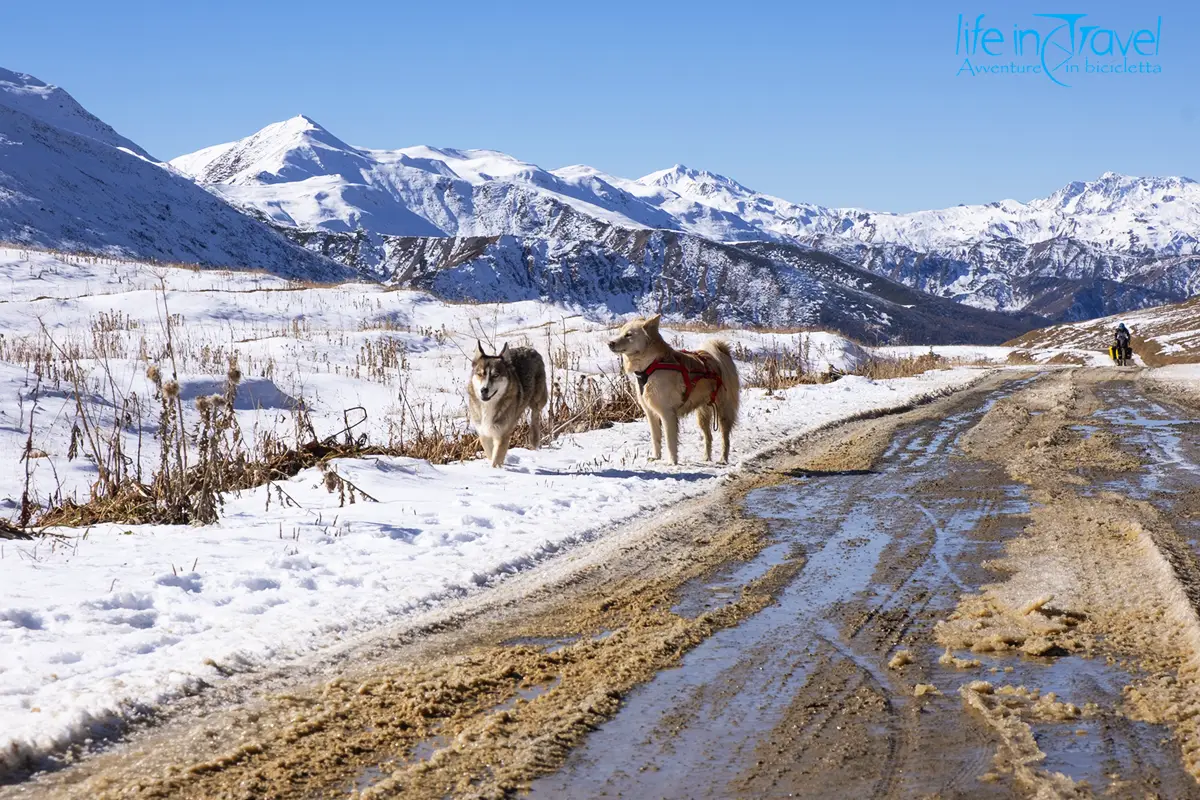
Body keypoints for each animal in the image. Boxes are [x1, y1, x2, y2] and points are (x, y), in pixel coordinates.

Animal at [609, 311, 739, 462]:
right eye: (620, 332)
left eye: (628, 334)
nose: (609, 343)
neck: (651, 365)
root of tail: (720, 355)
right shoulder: (650, 413)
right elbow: (656, 438)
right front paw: (656, 457)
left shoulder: (667, 413)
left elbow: (670, 441)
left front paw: (672, 462)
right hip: (703, 413)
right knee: (708, 436)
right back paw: (706, 457)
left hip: (724, 409)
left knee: (725, 437)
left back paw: (723, 459)